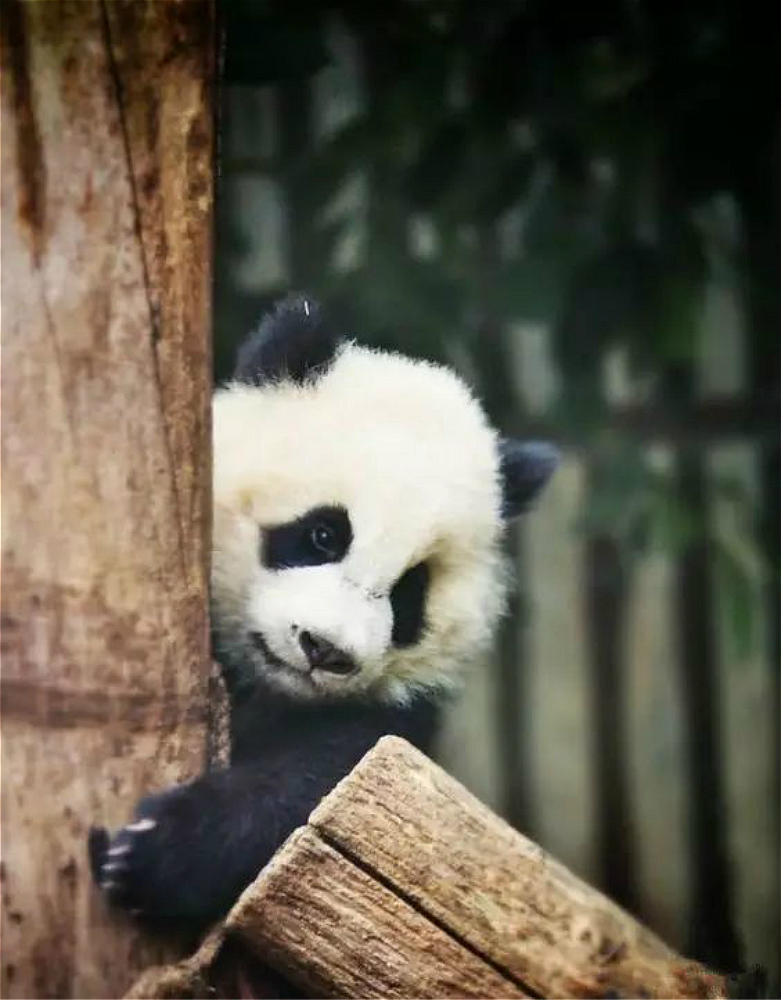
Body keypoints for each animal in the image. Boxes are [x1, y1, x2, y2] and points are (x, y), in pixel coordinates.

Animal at [89, 295, 558, 924]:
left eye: (408, 592)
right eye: (323, 535)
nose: (325, 649)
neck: (267, 688)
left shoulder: (394, 721)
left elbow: (331, 772)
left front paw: (154, 852)